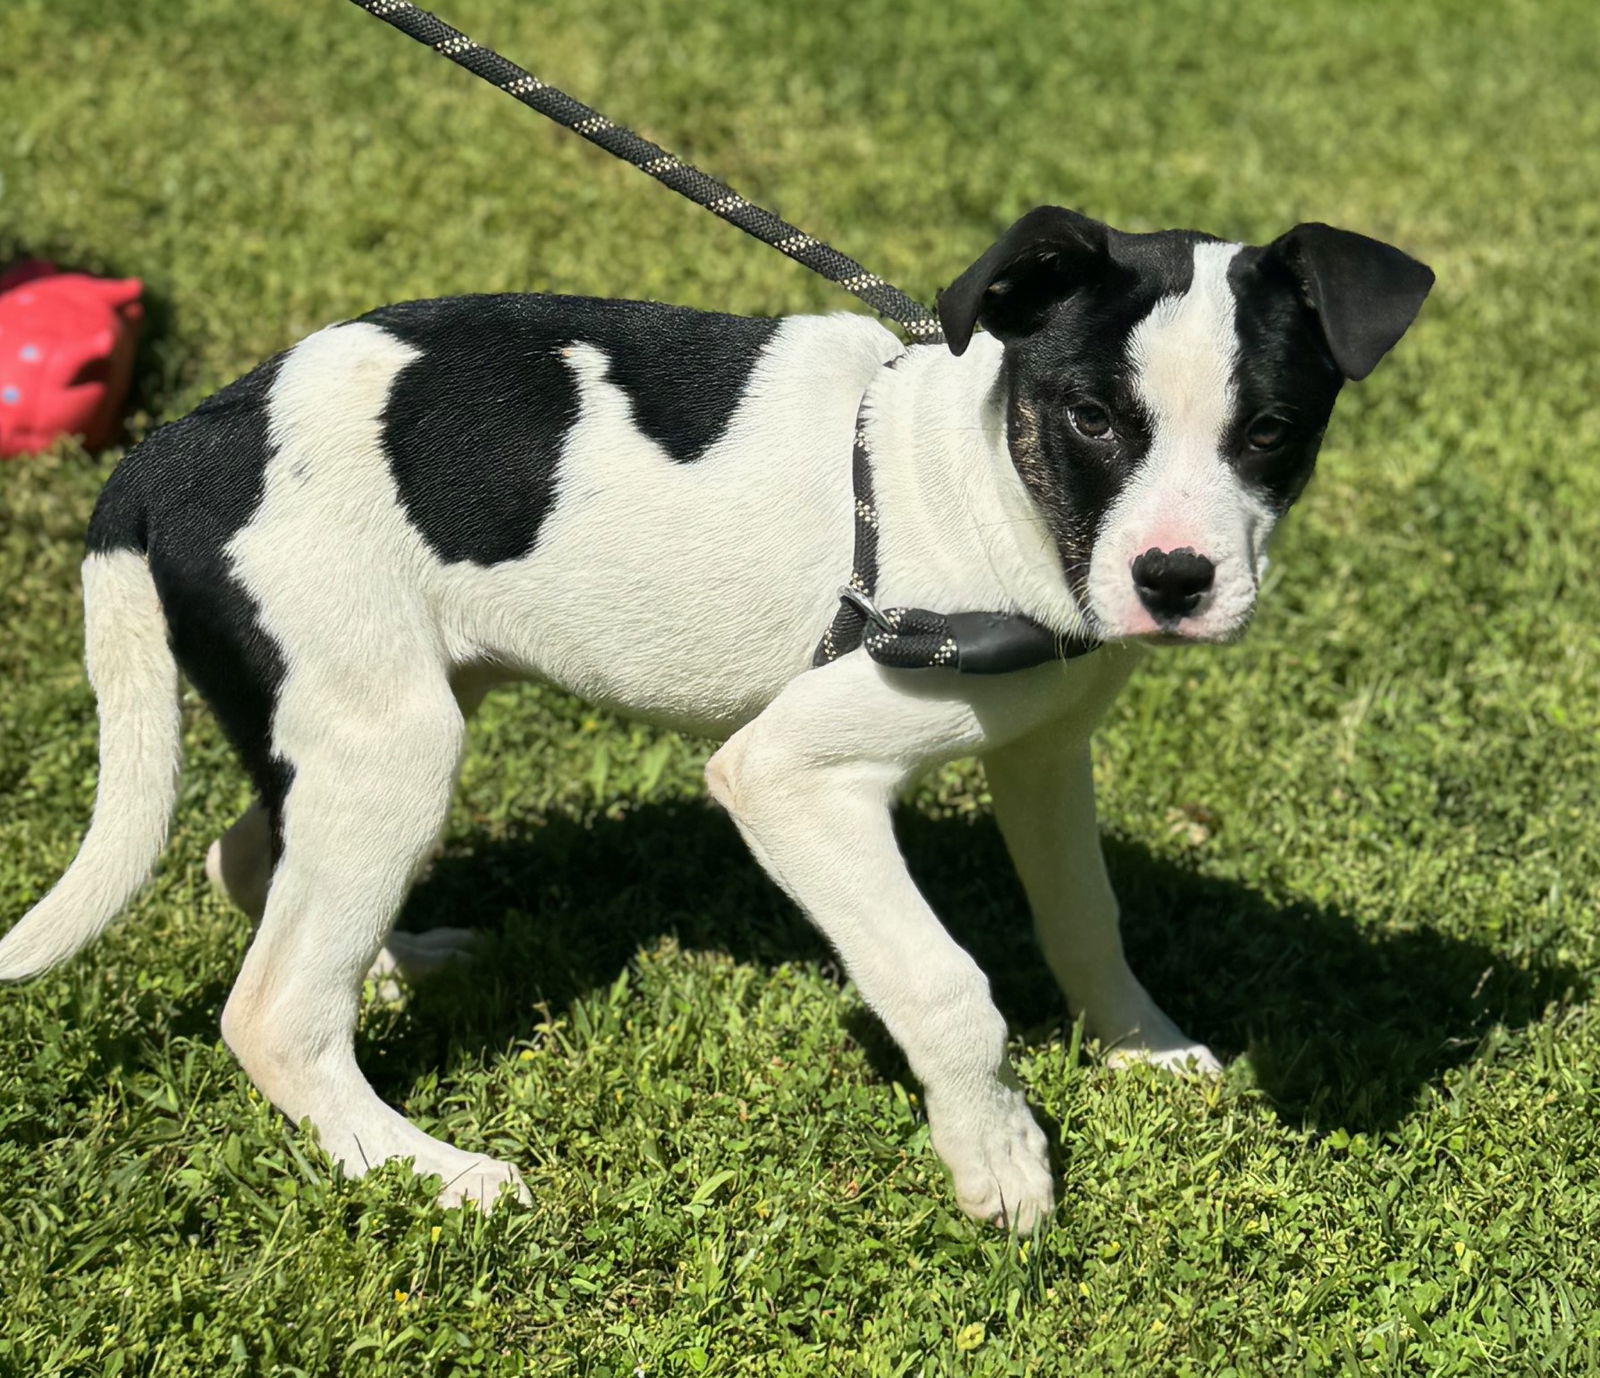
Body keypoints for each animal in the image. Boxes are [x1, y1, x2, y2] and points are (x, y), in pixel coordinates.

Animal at [0, 212, 1427, 1222]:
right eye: (1089, 417)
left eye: (1272, 433)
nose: (1175, 581)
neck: (988, 482)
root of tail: (175, 445)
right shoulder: (789, 776)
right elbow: (945, 980)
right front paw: (1001, 1158)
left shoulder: (1039, 749)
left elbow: (1087, 919)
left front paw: (1144, 1047)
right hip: (393, 741)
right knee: (275, 1007)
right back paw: (425, 1169)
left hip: (370, 715)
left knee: (250, 859)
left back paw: (401, 962)